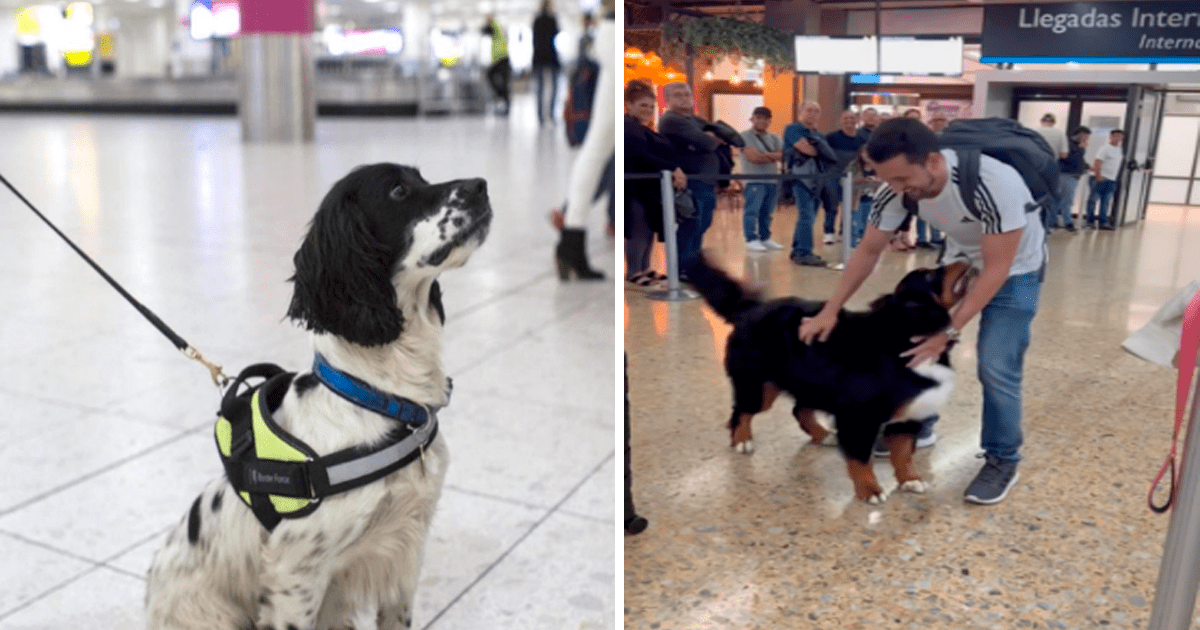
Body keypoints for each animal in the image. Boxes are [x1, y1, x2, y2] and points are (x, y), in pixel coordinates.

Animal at [686, 253, 974, 504]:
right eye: (929, 275)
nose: (963, 256)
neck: (904, 337)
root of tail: (753, 309)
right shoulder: (858, 417)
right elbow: (860, 458)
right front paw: (870, 490)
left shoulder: (908, 416)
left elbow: (903, 454)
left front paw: (910, 480)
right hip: (759, 386)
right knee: (742, 412)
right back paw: (742, 440)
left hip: (811, 383)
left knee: (797, 410)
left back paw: (822, 435)